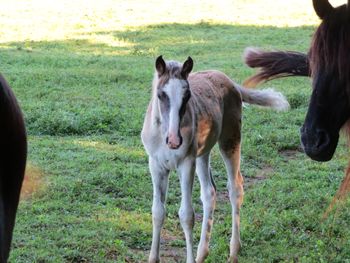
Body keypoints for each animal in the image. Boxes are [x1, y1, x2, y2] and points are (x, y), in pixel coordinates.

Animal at [141, 55, 288, 262]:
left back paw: (233, 251)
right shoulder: (156, 164)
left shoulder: (186, 163)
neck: (163, 134)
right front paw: (154, 258)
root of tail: (230, 81)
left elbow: (187, 215)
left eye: (187, 96)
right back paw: (202, 253)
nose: (174, 140)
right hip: (203, 153)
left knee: (235, 188)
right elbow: (157, 212)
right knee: (209, 192)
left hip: (230, 140)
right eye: (161, 95)